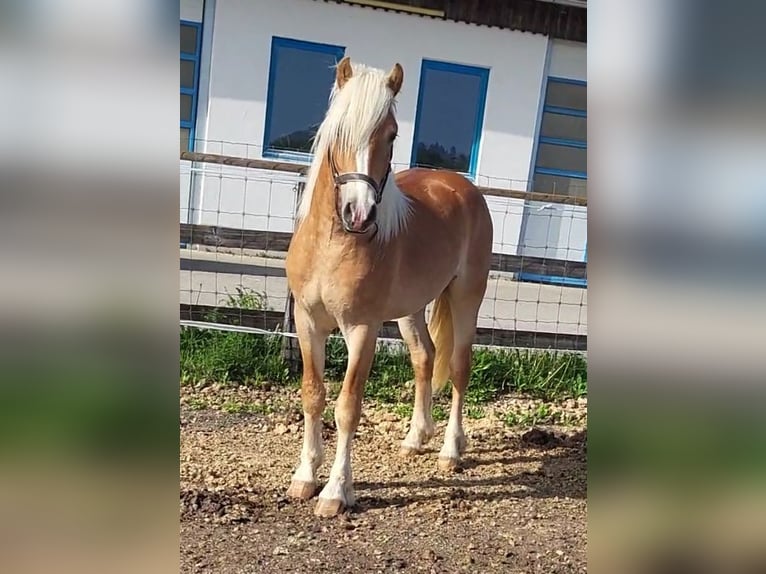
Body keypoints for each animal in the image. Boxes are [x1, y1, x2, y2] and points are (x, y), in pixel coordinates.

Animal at [284, 56, 492, 520]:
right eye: (339, 128)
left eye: (392, 134)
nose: (358, 214)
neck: (332, 245)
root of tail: (462, 187)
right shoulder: (307, 323)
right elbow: (312, 395)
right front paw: (304, 477)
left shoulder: (362, 329)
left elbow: (347, 406)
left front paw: (335, 492)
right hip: (410, 309)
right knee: (424, 357)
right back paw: (416, 438)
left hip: (466, 296)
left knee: (458, 366)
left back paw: (450, 451)